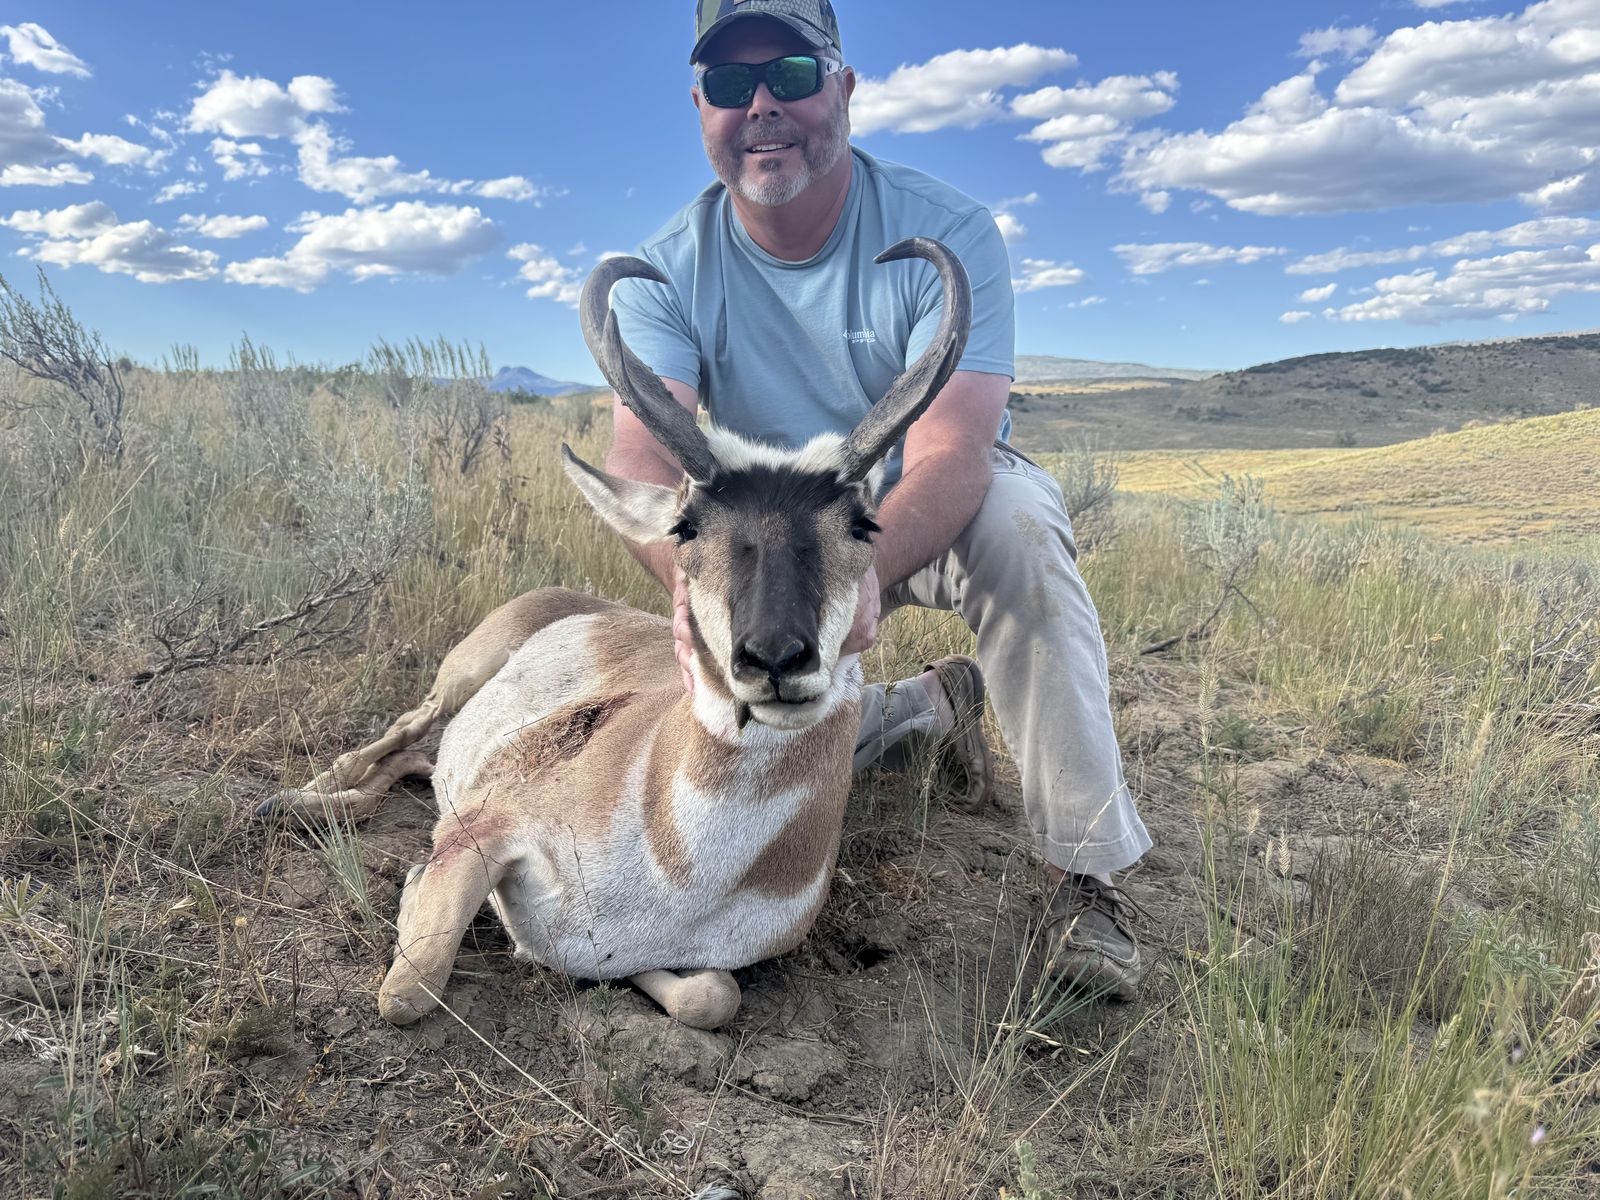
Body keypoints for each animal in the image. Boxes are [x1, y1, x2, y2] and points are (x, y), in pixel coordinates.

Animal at [264, 237, 972, 1030]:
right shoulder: (486, 828)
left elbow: (709, 996)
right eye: (685, 526)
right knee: (396, 733)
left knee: (414, 760)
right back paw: (298, 800)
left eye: (862, 524)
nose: (775, 657)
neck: (676, 859)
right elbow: (406, 991)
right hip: (458, 679)